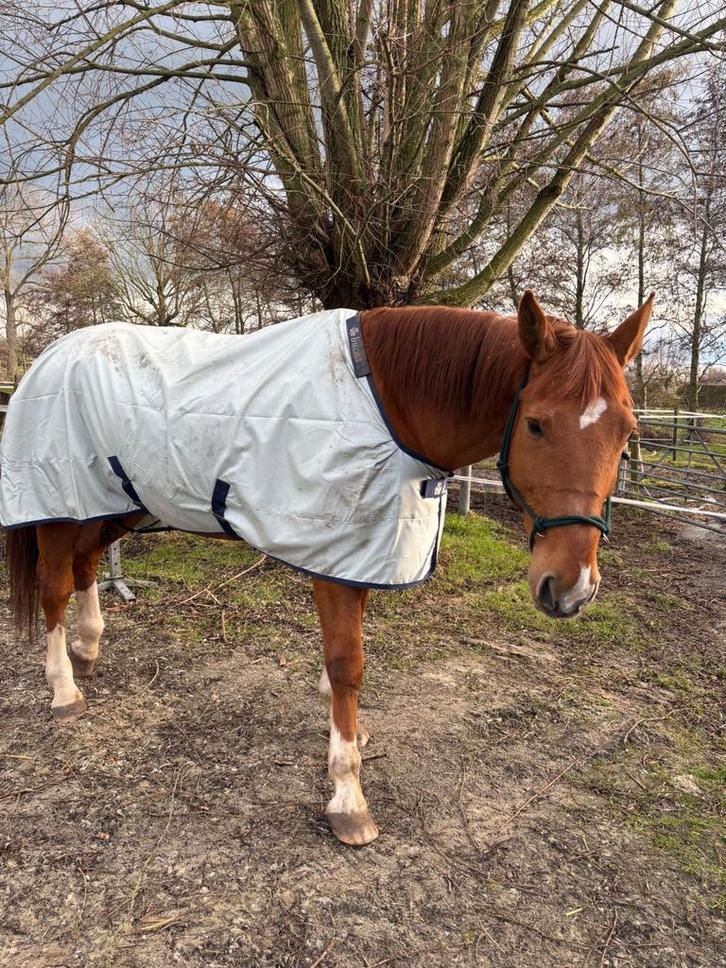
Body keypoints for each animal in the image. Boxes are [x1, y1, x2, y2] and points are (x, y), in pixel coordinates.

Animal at [3, 290, 652, 846]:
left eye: (628, 431)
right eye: (536, 423)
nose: (570, 589)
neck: (387, 403)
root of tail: (51, 356)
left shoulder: (359, 552)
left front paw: (350, 734)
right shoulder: (333, 560)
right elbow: (347, 665)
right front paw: (348, 796)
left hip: (117, 501)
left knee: (86, 565)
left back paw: (89, 649)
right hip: (61, 503)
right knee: (55, 588)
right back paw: (64, 687)